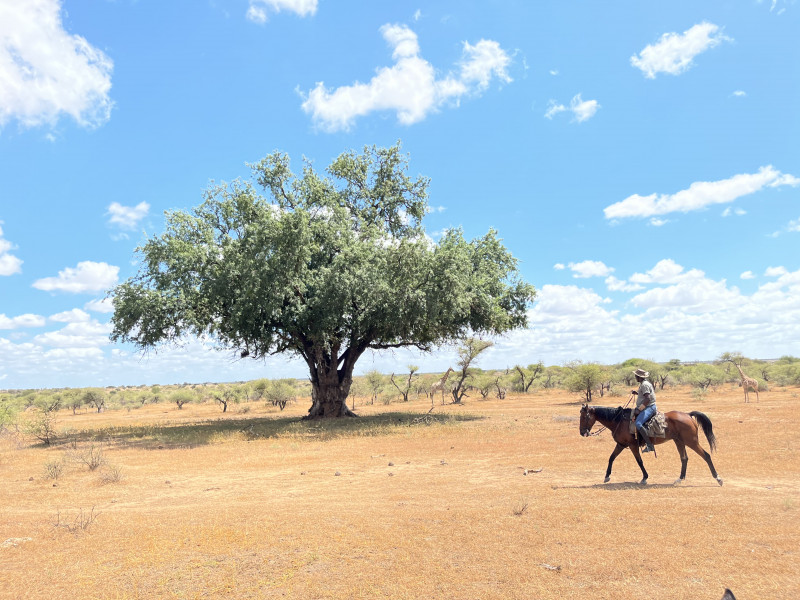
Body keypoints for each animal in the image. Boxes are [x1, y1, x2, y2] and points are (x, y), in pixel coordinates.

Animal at [580, 406, 720, 486]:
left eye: (584, 416)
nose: (582, 432)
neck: (619, 420)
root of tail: (687, 414)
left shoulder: (632, 445)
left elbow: (639, 461)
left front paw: (645, 478)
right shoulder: (621, 444)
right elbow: (611, 458)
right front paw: (607, 476)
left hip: (691, 441)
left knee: (706, 455)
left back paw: (718, 478)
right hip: (679, 441)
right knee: (684, 458)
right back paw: (679, 479)